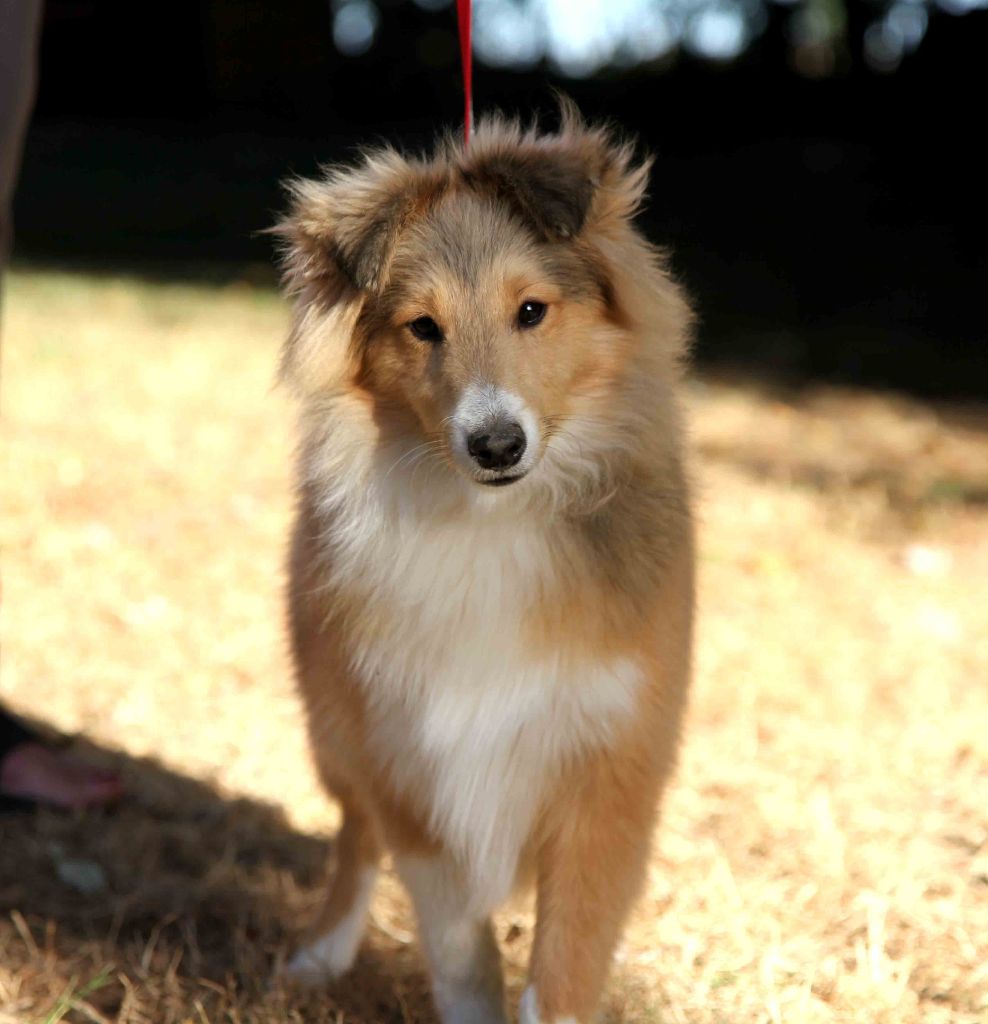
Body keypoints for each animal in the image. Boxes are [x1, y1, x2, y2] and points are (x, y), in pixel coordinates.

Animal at [272, 105, 692, 1024]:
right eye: (422, 326)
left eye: (531, 310)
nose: (496, 444)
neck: (490, 520)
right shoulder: (413, 769)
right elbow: (461, 953)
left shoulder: (606, 780)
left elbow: (563, 970)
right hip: (338, 727)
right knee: (355, 834)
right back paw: (320, 951)